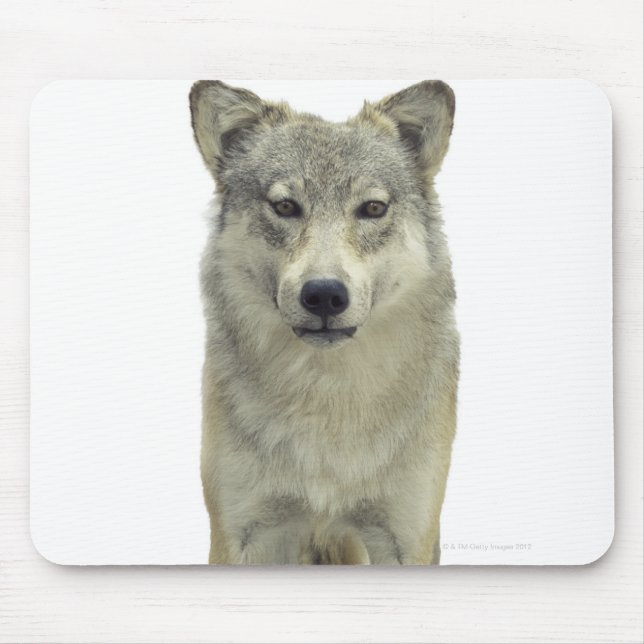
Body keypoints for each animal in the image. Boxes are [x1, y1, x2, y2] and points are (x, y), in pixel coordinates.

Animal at [189, 80, 459, 564]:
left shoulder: (405, 539)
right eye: (285, 206)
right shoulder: (242, 536)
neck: (327, 392)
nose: (324, 295)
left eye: (372, 208)